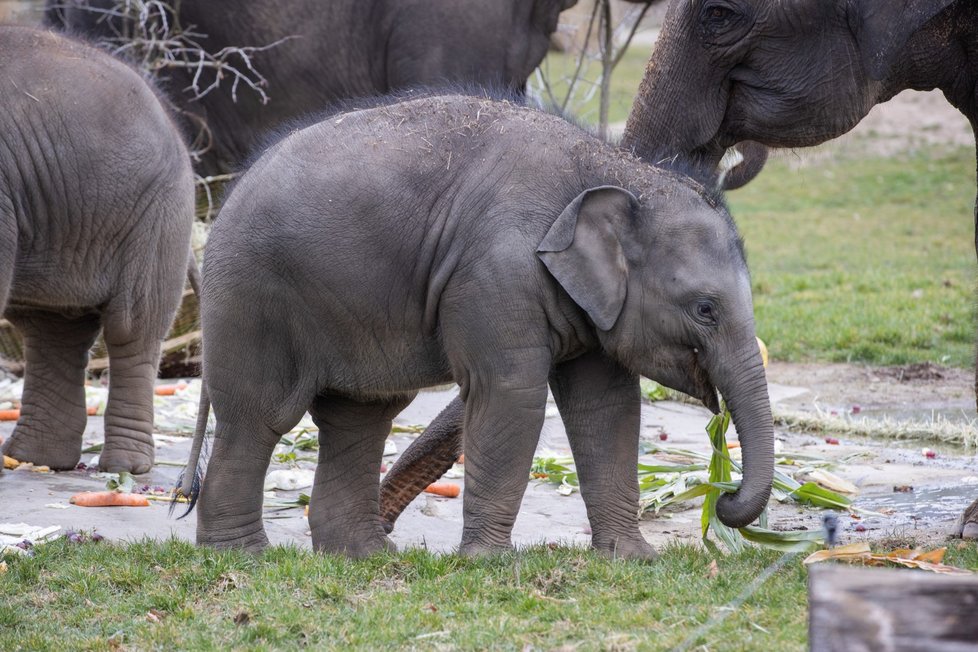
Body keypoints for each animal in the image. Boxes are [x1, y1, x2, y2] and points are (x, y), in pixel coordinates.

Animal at [193, 94, 772, 556]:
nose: (723, 497)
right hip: (252, 298)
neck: (613, 169)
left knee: (360, 416)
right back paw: (245, 556)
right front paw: (489, 563)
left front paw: (633, 559)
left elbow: (607, 406)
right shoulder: (496, 272)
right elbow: (511, 394)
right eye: (705, 309)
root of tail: (224, 200)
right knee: (260, 415)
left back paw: (365, 557)